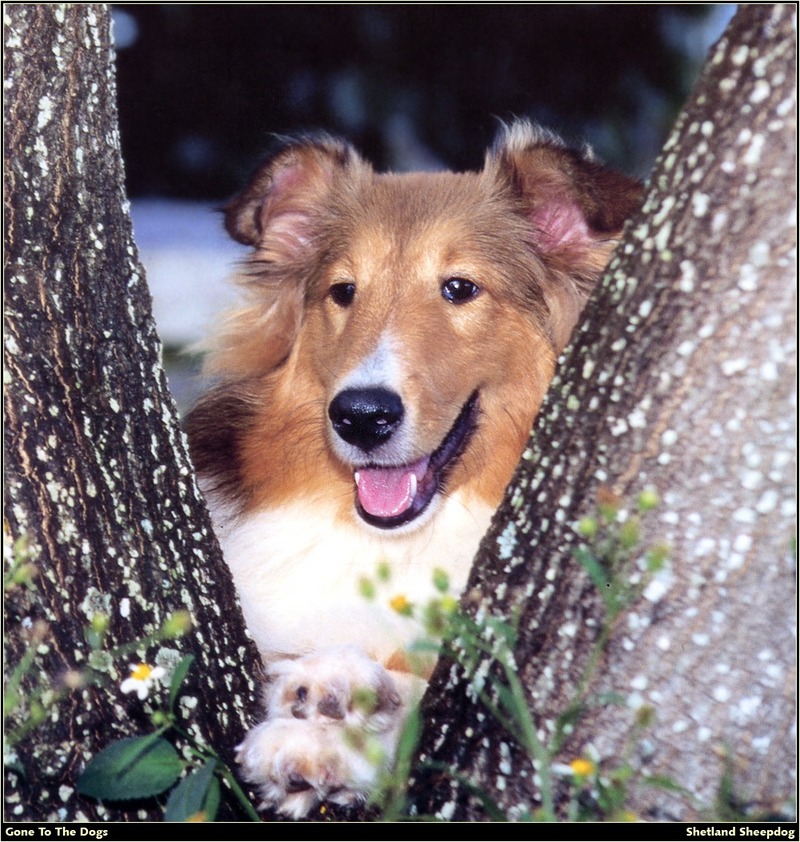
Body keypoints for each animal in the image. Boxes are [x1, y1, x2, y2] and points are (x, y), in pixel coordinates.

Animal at [184, 121, 640, 816]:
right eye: (343, 292)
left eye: (460, 288)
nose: (361, 417)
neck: (395, 544)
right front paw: (327, 690)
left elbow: (428, 707)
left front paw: (331, 727)